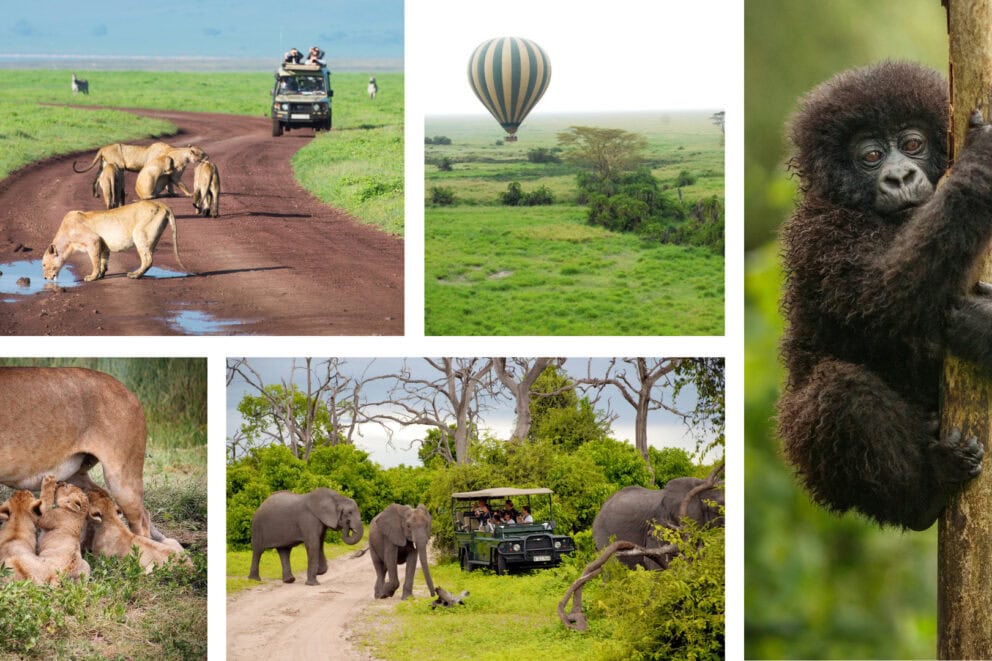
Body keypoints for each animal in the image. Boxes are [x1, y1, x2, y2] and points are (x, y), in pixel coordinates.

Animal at [42, 200, 190, 281]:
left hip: (139, 233)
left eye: (43, 265)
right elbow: (103, 260)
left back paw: (134, 275)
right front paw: (100, 275)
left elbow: (95, 261)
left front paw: (92, 277)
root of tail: (161, 204)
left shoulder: (93, 240)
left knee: (148, 259)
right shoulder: (103, 244)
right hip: (151, 238)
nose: (44, 278)